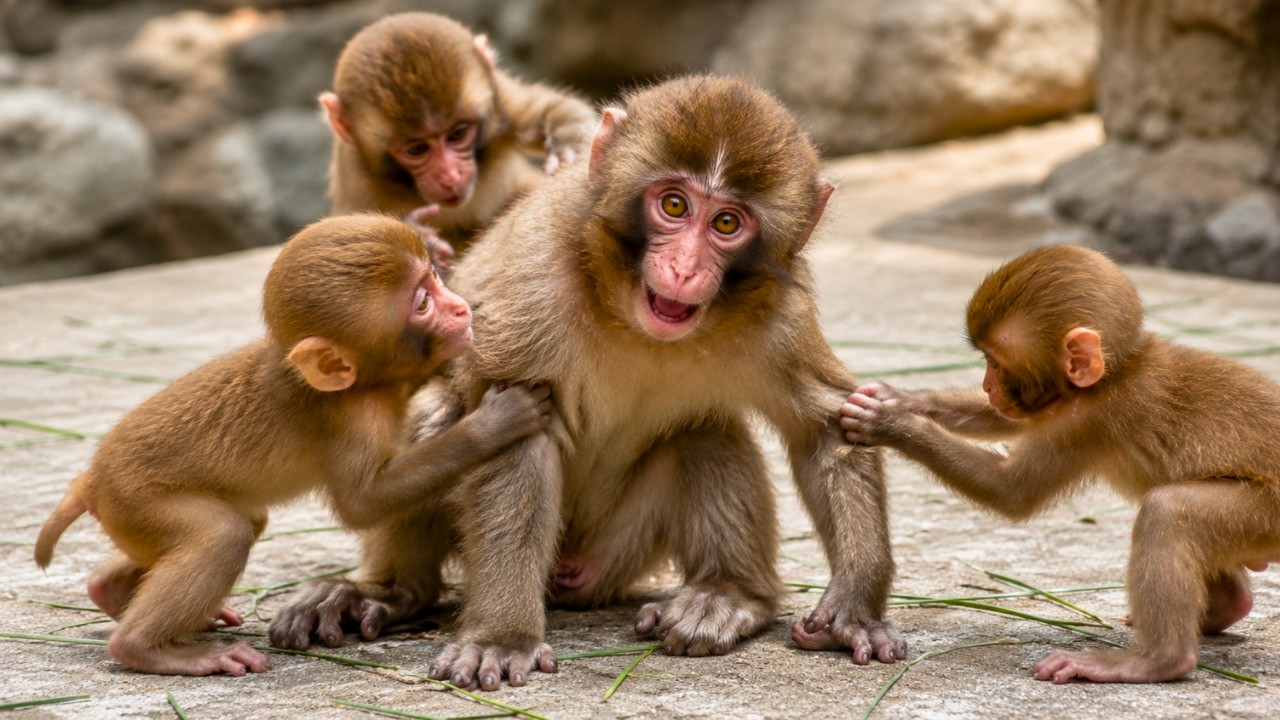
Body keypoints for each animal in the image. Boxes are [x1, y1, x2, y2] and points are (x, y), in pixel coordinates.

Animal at [33, 214, 551, 677]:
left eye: (436, 279)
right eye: (423, 302)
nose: (461, 308)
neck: (368, 382)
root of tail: (92, 478)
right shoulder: (353, 419)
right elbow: (363, 503)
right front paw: (495, 422)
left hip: (130, 517)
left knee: (243, 522)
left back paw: (109, 590)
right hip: (135, 499)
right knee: (225, 534)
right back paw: (147, 648)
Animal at [269, 75, 908, 691]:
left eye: (727, 222)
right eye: (673, 204)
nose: (683, 269)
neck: (625, 311)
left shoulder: (779, 315)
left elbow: (829, 427)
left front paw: (854, 607)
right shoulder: (536, 279)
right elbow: (516, 432)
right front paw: (502, 636)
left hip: (621, 549)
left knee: (702, 430)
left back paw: (729, 596)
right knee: (437, 415)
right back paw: (390, 591)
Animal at [321, 12, 597, 269]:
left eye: (457, 134)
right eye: (417, 149)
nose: (450, 175)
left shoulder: (500, 104)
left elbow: (548, 107)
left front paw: (569, 148)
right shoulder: (357, 182)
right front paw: (421, 235)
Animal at [840, 244, 1280, 684]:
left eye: (997, 362)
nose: (987, 385)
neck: (1118, 371)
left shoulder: (1089, 421)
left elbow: (1012, 491)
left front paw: (889, 422)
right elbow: (1006, 420)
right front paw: (899, 398)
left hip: (1264, 515)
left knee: (1168, 511)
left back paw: (1157, 659)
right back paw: (1228, 605)